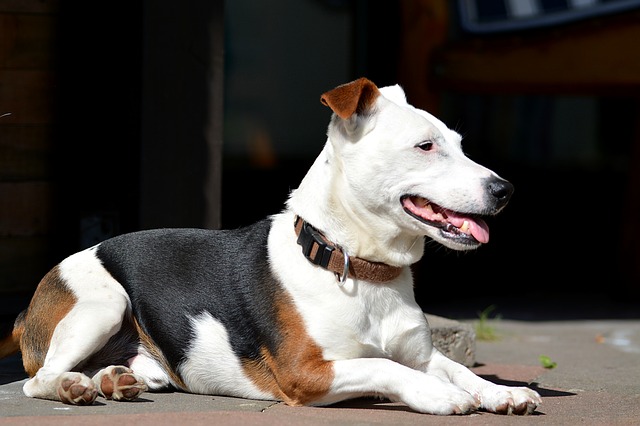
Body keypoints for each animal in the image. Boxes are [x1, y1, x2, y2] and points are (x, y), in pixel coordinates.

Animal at [0, 78, 540, 414]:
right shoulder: (306, 372)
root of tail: (27, 309)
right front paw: (438, 395)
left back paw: (113, 379)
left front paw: (501, 392)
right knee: (37, 379)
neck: (357, 268)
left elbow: (457, 368)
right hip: (103, 302)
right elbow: (383, 364)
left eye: (460, 145)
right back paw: (74, 386)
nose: (506, 189)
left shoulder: (422, 354)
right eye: (426, 147)